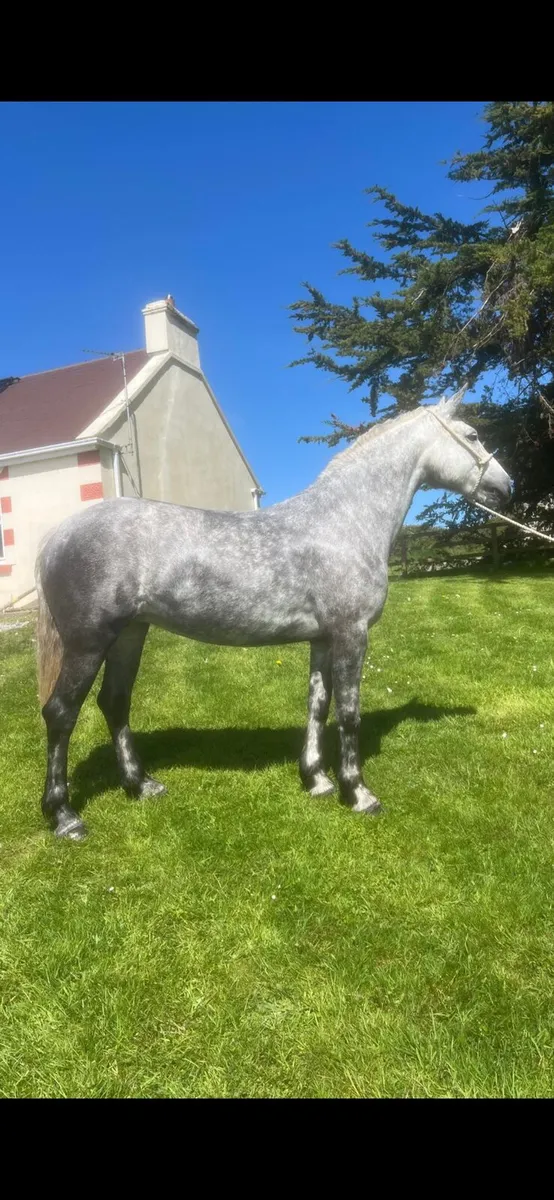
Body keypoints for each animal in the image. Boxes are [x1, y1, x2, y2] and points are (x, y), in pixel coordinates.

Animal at [35, 387, 511, 840]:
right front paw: (357, 793)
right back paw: (65, 817)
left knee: (114, 703)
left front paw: (316, 780)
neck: (345, 522)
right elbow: (348, 712)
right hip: (89, 642)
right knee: (61, 713)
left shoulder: (322, 639)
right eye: (472, 436)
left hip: (130, 635)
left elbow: (318, 704)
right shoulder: (351, 633)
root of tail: (57, 535)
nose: (506, 486)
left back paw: (140, 785)